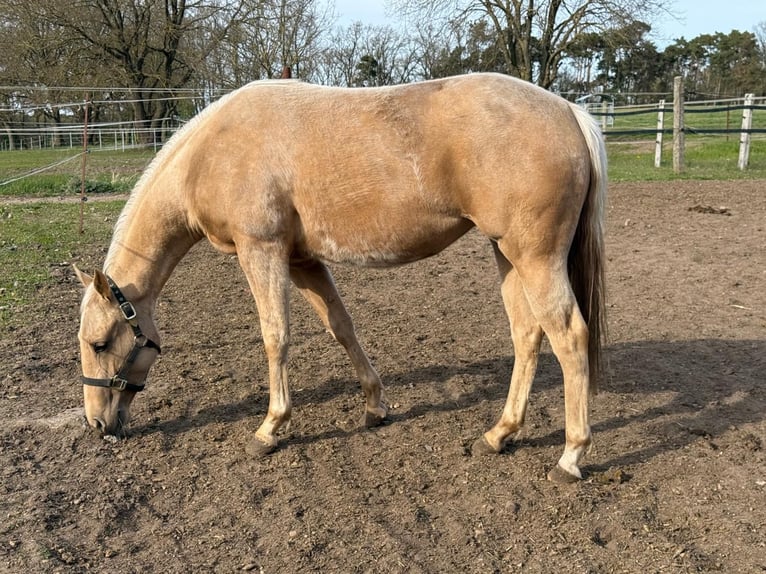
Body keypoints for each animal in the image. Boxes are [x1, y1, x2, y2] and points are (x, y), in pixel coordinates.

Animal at [74, 72, 607, 483]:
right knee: (528, 334)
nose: (97, 423)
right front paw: (375, 407)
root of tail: (568, 112)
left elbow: (275, 337)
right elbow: (341, 327)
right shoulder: (302, 260)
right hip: (507, 254)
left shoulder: (261, 250)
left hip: (535, 257)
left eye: (100, 343)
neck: (211, 153)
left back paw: (570, 457)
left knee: (568, 336)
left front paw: (270, 428)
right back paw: (499, 434)